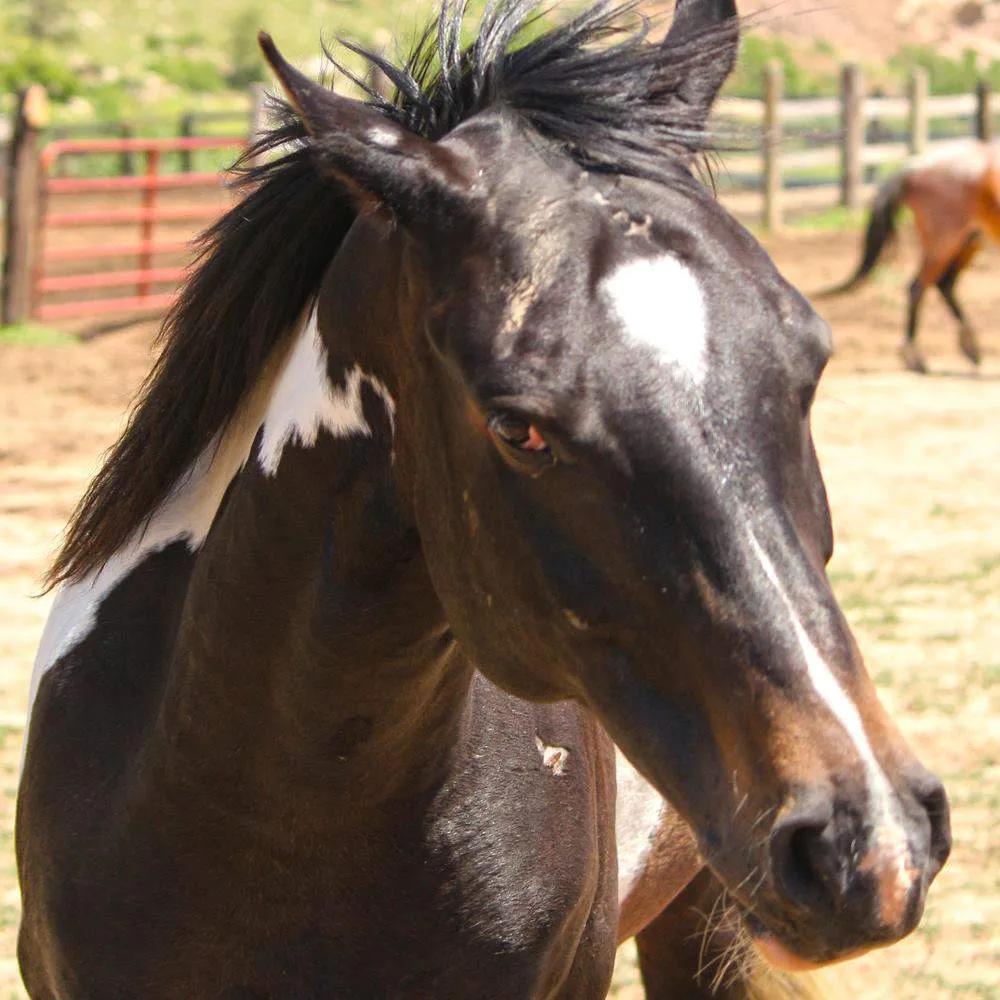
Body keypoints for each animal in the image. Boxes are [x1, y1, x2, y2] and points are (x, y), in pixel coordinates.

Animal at [822, 138, 1000, 373]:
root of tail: (914, 167)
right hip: (944, 243)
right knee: (918, 287)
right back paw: (914, 355)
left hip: (968, 241)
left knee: (944, 284)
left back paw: (969, 346)